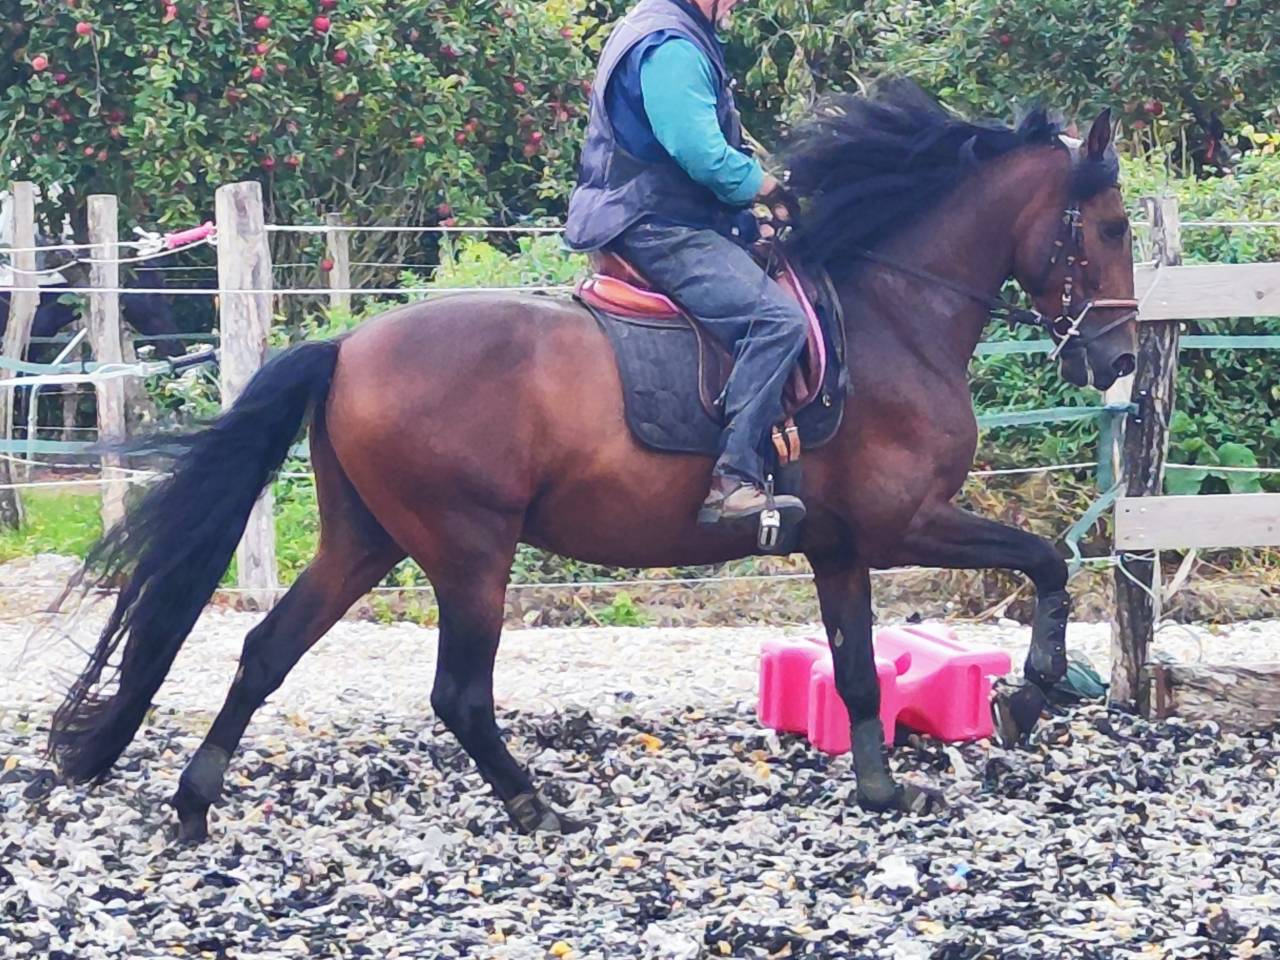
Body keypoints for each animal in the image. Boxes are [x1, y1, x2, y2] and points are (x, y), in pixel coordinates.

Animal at [48, 82, 1139, 842]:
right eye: (1113, 227)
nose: (1118, 360)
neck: (889, 314)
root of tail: (348, 346)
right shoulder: (903, 524)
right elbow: (1047, 559)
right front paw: (1026, 698)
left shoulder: (840, 548)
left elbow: (862, 673)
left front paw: (879, 789)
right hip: (470, 551)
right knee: (458, 695)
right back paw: (536, 806)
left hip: (365, 541)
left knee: (266, 651)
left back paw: (194, 803)